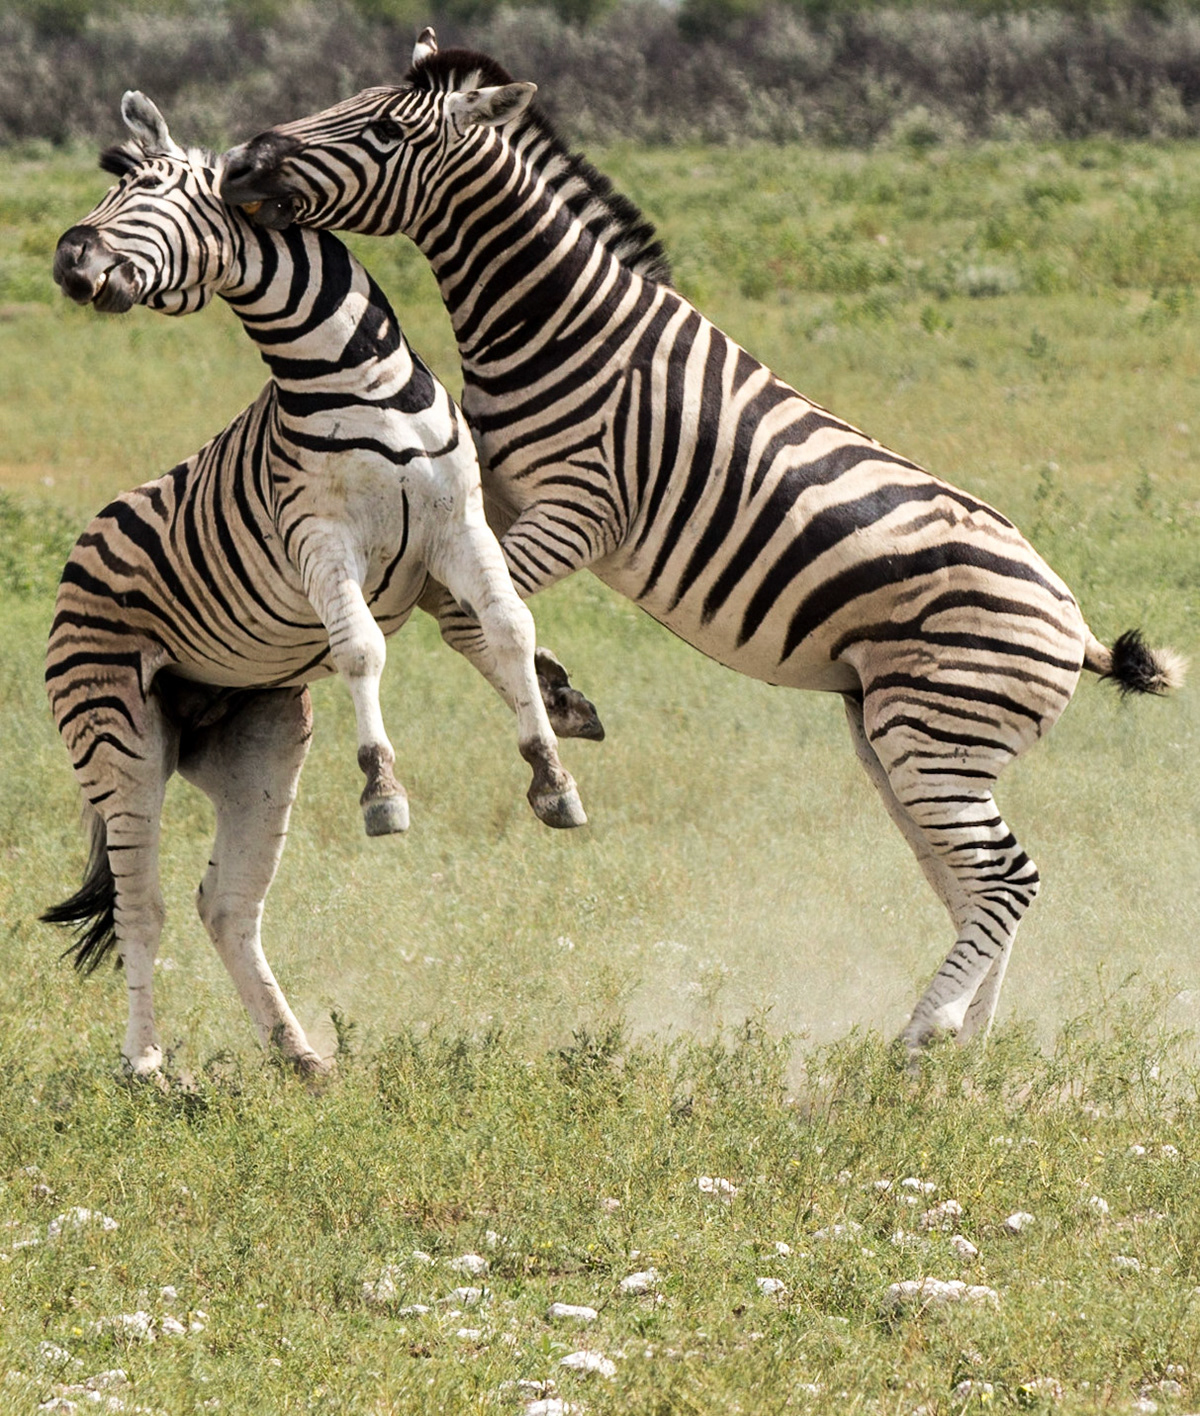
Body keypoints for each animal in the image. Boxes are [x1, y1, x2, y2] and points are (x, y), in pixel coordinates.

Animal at [45, 91, 587, 1079]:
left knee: (223, 905)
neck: (356, 378)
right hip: (115, 734)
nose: (70, 260)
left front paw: (551, 776)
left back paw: (300, 1061)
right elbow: (361, 649)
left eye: (152, 189)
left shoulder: (459, 523)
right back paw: (149, 1072)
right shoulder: (319, 539)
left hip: (259, 744)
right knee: (141, 907)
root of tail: (79, 553)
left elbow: (510, 626)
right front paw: (383, 791)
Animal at [219, 35, 1186, 1056]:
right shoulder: (491, 492)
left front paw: (553, 718)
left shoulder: (579, 505)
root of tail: (1074, 629)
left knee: (1007, 878)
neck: (555, 324)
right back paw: (966, 1047)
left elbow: (468, 615)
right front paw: (559, 695)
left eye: (385, 129)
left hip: (934, 732)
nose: (240, 161)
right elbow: (475, 613)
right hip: (910, 737)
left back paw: (919, 1040)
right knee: (970, 884)